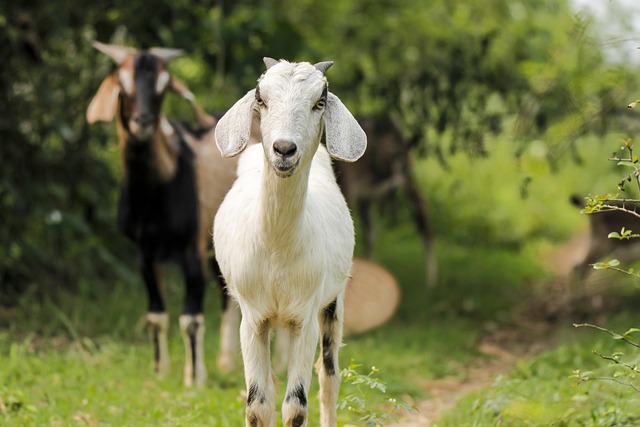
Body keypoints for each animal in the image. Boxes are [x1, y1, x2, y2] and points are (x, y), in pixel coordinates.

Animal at [87, 41, 240, 386]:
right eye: (122, 84)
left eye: (163, 86)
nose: (142, 122)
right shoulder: (145, 253)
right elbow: (156, 316)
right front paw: (160, 371)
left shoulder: (191, 249)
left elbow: (191, 319)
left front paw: (194, 379)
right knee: (229, 294)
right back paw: (227, 362)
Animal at [214, 59, 364, 427]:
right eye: (260, 98)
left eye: (320, 101)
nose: (284, 149)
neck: (276, 248)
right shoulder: (252, 318)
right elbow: (257, 405)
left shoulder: (304, 317)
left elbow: (296, 406)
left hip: (333, 301)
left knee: (329, 377)